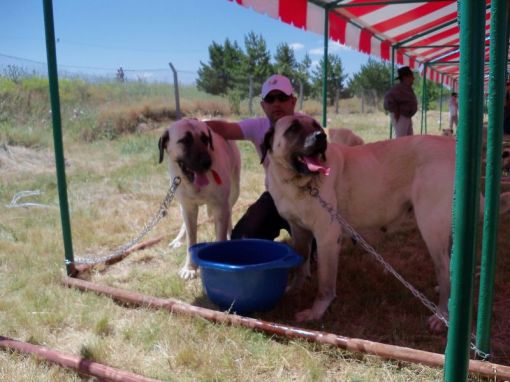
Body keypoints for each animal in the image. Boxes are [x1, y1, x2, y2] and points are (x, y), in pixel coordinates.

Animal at [158, 118, 240, 280]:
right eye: (185, 140)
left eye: (206, 139)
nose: (207, 162)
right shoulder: (188, 207)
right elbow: (191, 240)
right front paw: (189, 268)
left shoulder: (221, 207)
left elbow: (220, 235)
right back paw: (179, 239)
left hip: (234, 193)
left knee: (229, 213)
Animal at [260, 113, 510, 332]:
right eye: (293, 128)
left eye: (316, 126)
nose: (321, 137)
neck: (298, 183)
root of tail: (452, 147)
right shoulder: (299, 231)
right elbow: (300, 263)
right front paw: (293, 289)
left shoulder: (327, 238)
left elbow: (325, 284)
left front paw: (316, 312)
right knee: (449, 267)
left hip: (431, 228)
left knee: (443, 268)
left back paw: (442, 316)